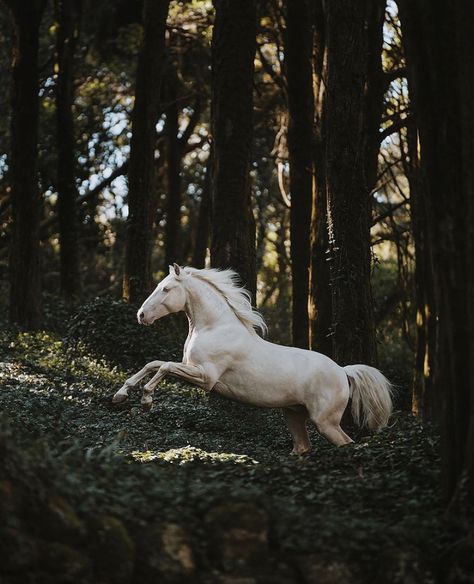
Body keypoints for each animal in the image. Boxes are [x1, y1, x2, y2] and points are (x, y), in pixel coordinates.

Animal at [112, 266, 392, 456]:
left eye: (166, 289)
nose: (141, 315)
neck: (215, 328)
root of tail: (343, 371)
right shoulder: (192, 369)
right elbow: (153, 364)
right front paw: (121, 394)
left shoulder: (205, 377)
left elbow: (164, 366)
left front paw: (146, 400)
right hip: (294, 415)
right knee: (303, 448)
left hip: (325, 422)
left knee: (346, 443)